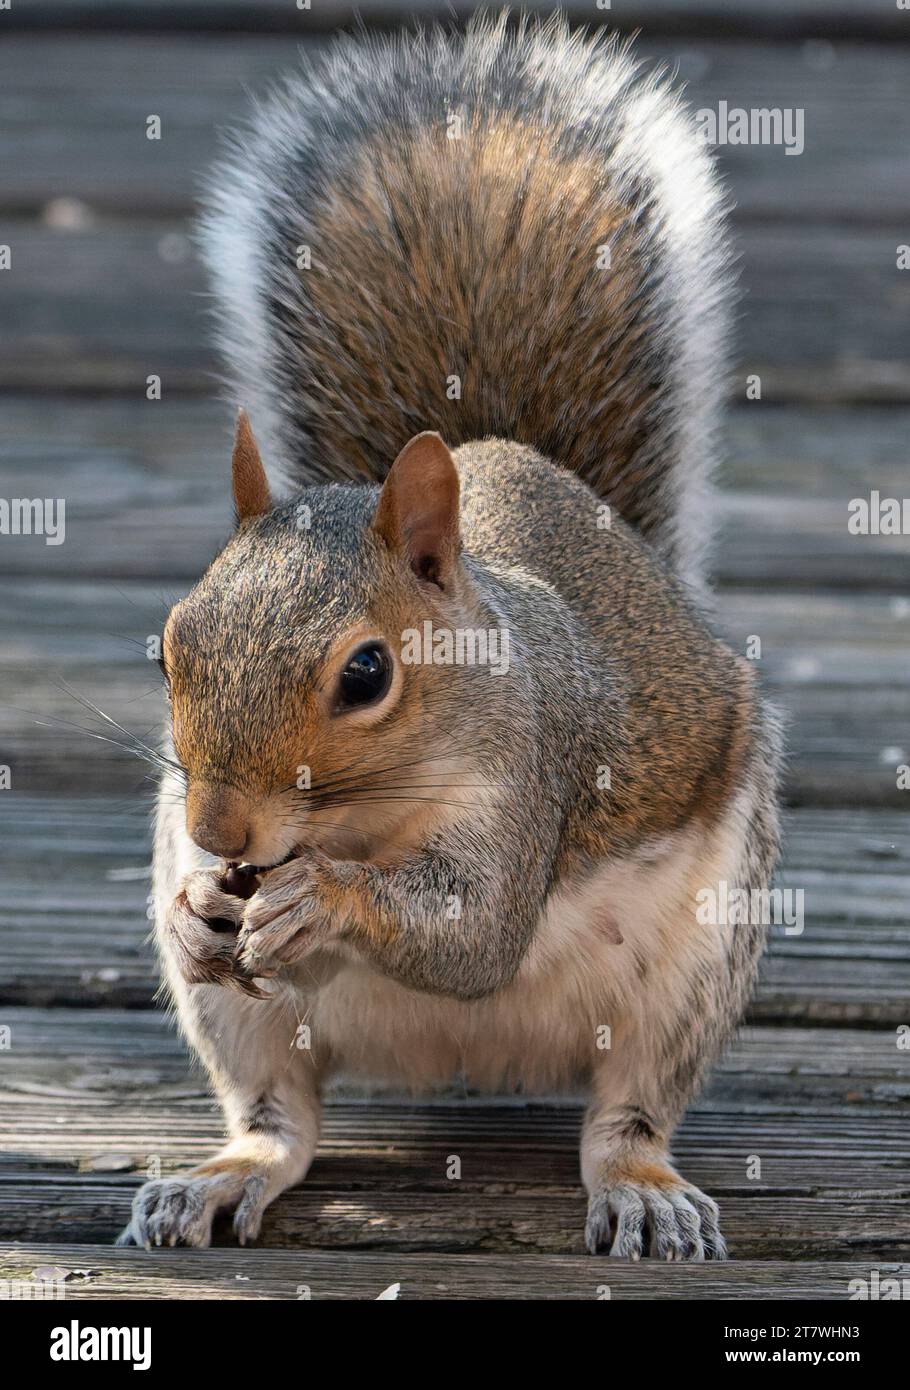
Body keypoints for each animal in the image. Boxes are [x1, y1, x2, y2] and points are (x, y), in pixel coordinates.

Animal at [119, 13, 782, 1261]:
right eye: (170, 645)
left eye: (367, 673)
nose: (220, 830)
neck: (362, 820)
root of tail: (471, 1065)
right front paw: (195, 909)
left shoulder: (532, 776)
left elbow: (471, 934)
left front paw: (323, 900)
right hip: (248, 1026)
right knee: (279, 1119)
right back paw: (220, 1175)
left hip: (694, 969)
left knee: (626, 1112)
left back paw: (643, 1187)